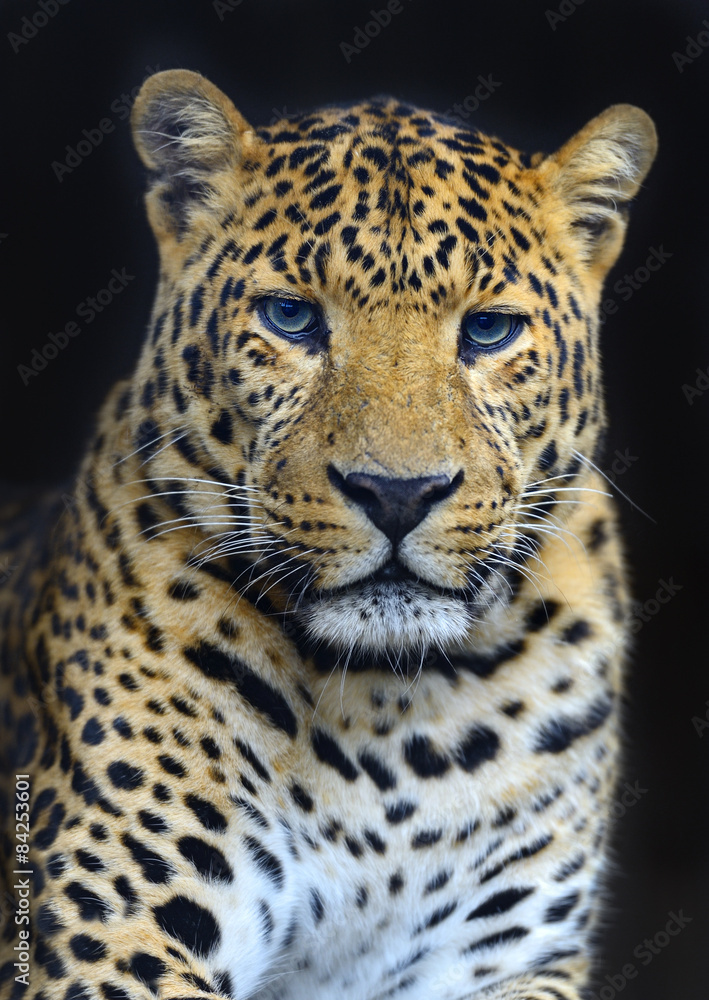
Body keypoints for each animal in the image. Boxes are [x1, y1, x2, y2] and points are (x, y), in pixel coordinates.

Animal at [0, 69, 657, 1000]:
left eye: (488, 329)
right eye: (290, 318)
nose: (397, 493)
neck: (394, 716)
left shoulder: (508, 955)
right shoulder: (114, 933)